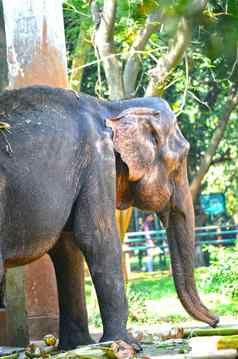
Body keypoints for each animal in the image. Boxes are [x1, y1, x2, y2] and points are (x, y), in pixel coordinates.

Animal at [0, 86, 218, 350]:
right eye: (181, 159)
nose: (216, 321)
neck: (113, 107)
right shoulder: (97, 160)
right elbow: (97, 238)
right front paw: (126, 345)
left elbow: (68, 249)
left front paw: (78, 346)